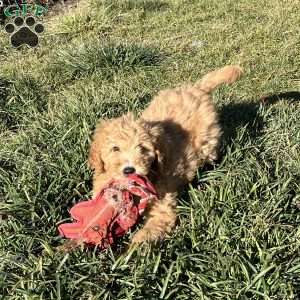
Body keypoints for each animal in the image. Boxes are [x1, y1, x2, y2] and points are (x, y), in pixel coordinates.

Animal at [88, 65, 241, 244]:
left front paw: (133, 249)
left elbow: (149, 231)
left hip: (207, 142)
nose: (129, 170)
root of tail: (195, 89)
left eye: (142, 148)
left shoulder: (162, 206)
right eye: (115, 148)